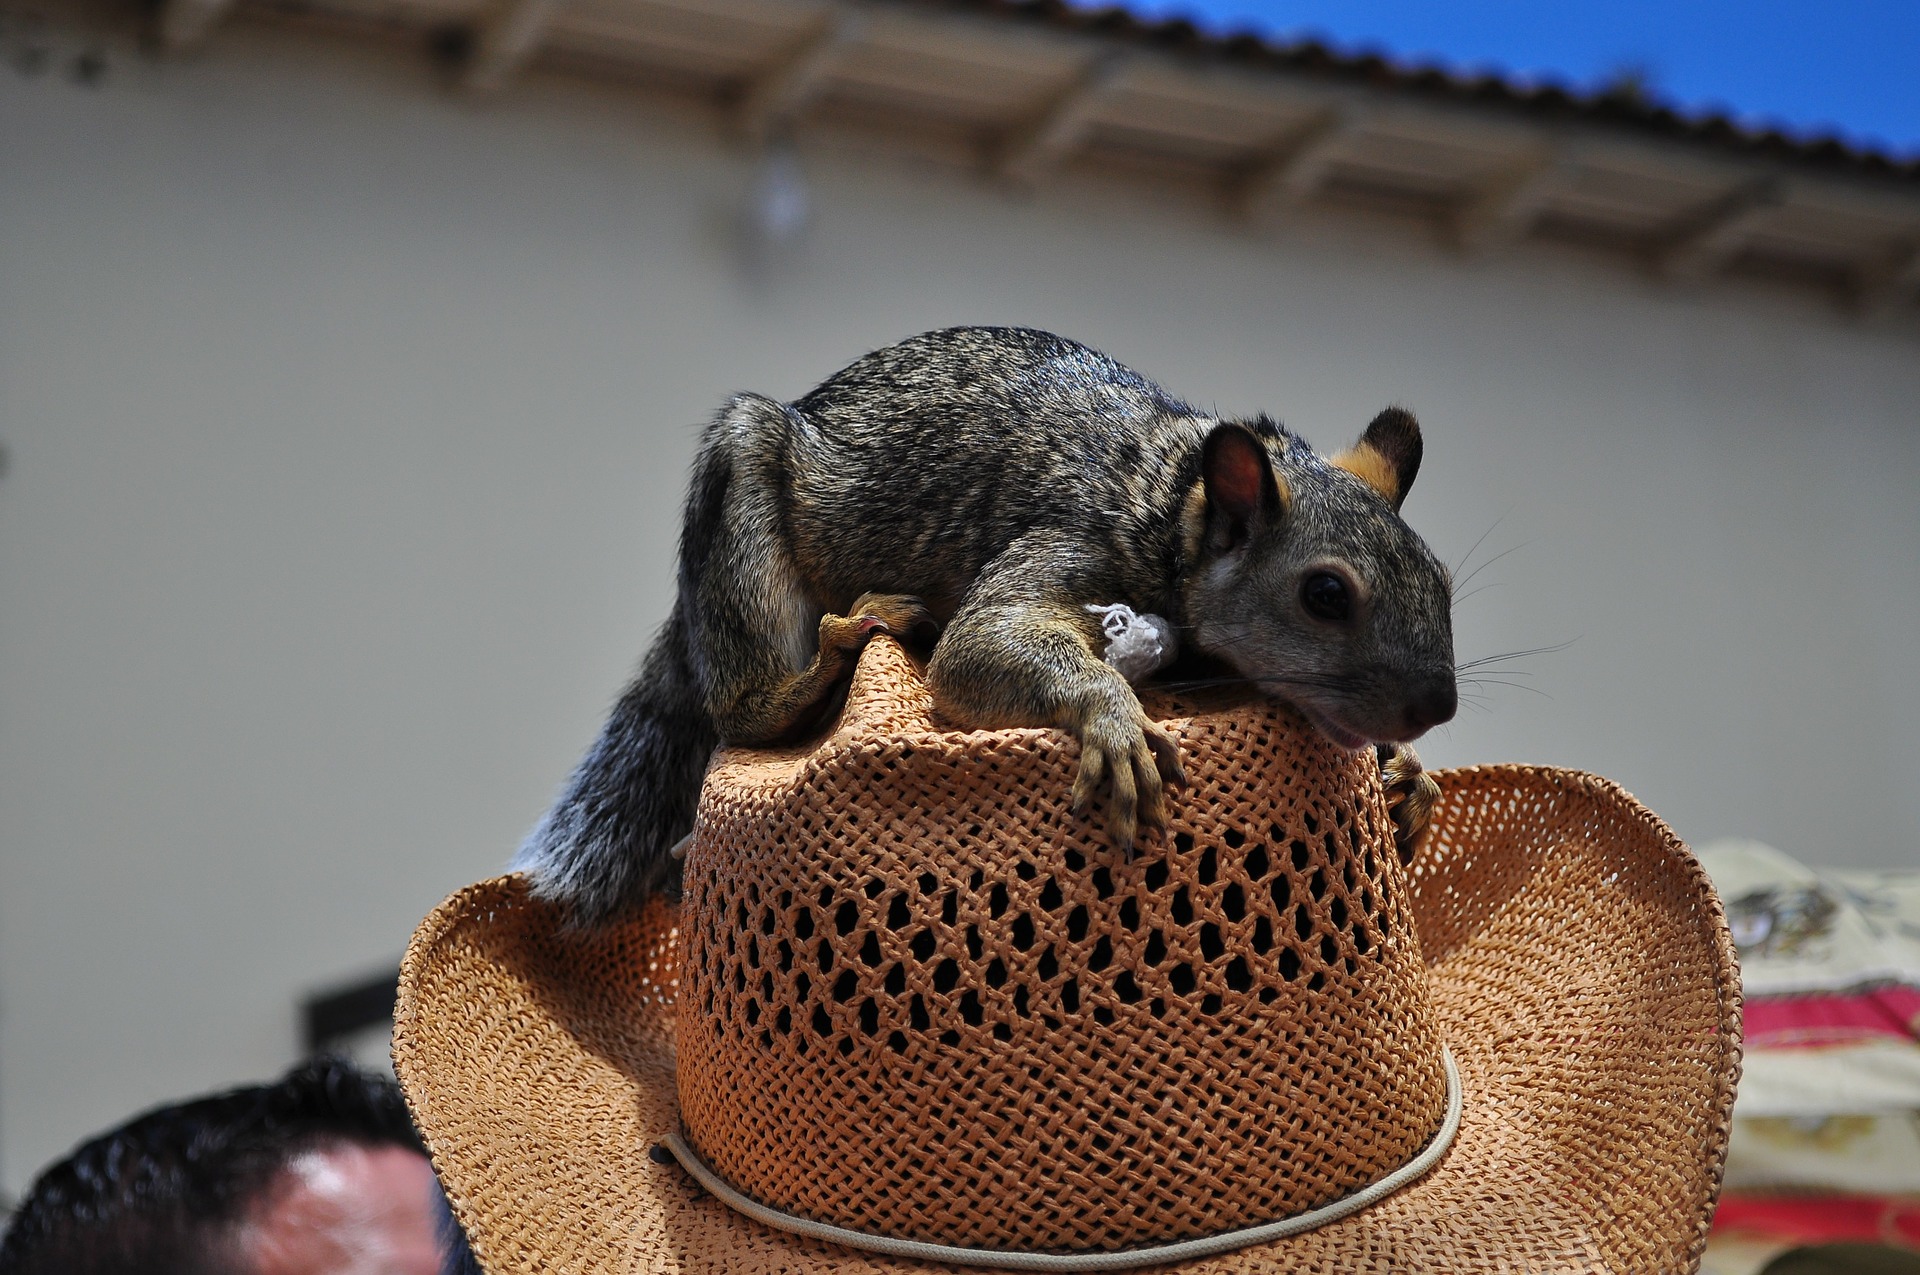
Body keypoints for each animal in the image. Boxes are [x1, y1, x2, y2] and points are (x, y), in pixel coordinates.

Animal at [514, 326, 1451, 925]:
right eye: (1324, 593)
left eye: (1440, 577)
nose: (1433, 708)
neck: (1169, 501)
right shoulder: (1068, 538)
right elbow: (978, 643)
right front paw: (1115, 720)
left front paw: (1406, 771)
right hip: (743, 505)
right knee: (748, 710)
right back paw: (824, 661)